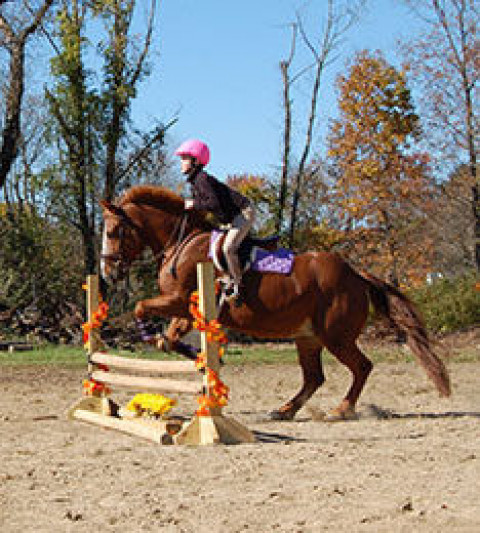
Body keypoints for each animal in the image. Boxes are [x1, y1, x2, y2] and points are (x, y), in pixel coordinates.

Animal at [100, 185, 450, 422]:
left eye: (114, 231)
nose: (107, 272)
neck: (181, 243)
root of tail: (355, 274)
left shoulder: (177, 301)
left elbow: (142, 308)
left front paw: (166, 341)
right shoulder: (184, 312)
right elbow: (169, 340)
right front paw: (200, 358)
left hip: (335, 336)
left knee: (362, 367)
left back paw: (341, 409)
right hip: (307, 337)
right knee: (314, 377)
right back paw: (284, 410)